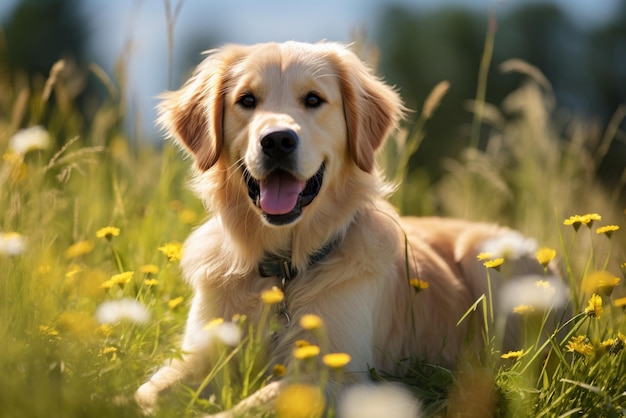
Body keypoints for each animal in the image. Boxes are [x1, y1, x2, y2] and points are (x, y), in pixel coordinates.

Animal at [135, 41, 560, 414]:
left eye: (313, 100)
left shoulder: (340, 373)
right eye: (247, 100)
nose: (277, 140)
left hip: (490, 253)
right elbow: (146, 394)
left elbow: (257, 403)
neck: (284, 270)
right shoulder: (200, 353)